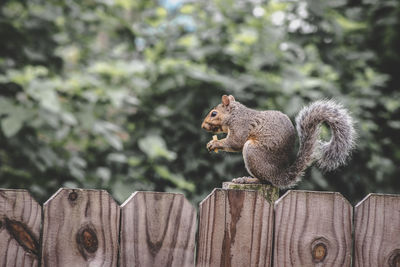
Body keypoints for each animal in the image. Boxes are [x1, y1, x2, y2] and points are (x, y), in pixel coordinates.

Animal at [200, 94, 356, 188]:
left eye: (214, 114)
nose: (203, 126)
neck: (235, 114)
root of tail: (279, 175)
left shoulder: (241, 126)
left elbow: (235, 142)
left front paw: (215, 143)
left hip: (252, 151)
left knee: (265, 181)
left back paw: (247, 179)